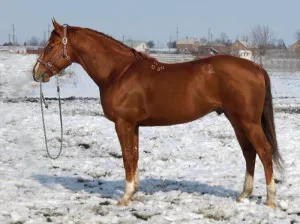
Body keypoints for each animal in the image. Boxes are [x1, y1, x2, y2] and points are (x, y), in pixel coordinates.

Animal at [33, 19, 284, 208]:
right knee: (249, 152)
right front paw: (134, 192)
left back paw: (270, 200)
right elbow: (134, 155)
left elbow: (127, 157)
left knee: (264, 151)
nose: (36, 72)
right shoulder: (133, 125)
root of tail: (256, 67)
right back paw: (244, 195)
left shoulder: (123, 123)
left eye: (51, 45)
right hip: (236, 120)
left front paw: (125, 197)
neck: (119, 72)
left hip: (248, 122)